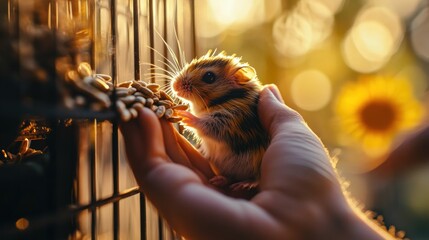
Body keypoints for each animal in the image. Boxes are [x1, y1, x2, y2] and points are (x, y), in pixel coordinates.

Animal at [170, 51, 268, 191]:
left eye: (209, 77)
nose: (174, 85)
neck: (225, 99)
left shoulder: (230, 121)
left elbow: (206, 124)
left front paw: (185, 116)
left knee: (256, 178)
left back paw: (245, 184)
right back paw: (220, 180)